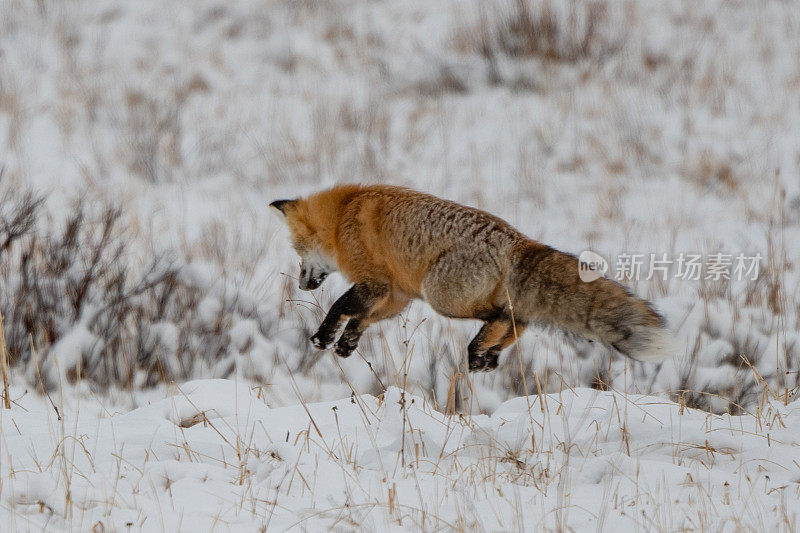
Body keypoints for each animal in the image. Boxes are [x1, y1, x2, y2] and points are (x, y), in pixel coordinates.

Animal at [270, 183, 676, 370]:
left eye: (298, 253)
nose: (301, 284)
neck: (344, 216)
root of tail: (517, 240)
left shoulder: (376, 282)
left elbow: (342, 305)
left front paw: (323, 337)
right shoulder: (399, 293)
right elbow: (363, 317)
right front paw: (345, 344)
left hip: (443, 297)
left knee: (505, 316)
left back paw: (480, 349)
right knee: (520, 320)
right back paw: (488, 354)